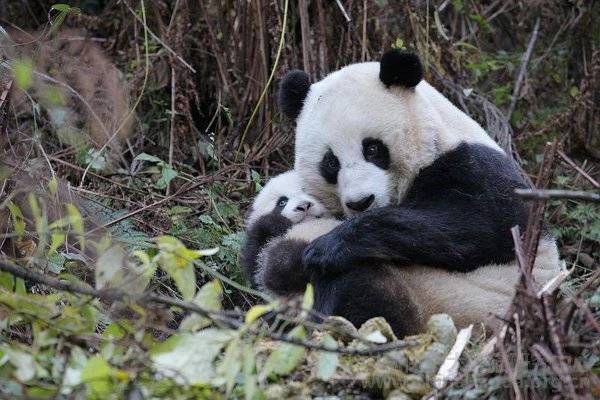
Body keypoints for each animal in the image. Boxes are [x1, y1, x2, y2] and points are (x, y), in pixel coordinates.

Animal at [264, 49, 560, 332]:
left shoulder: (474, 164)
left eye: (372, 149)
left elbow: (486, 223)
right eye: (330, 162)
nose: (361, 202)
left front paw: (326, 247)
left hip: (456, 303)